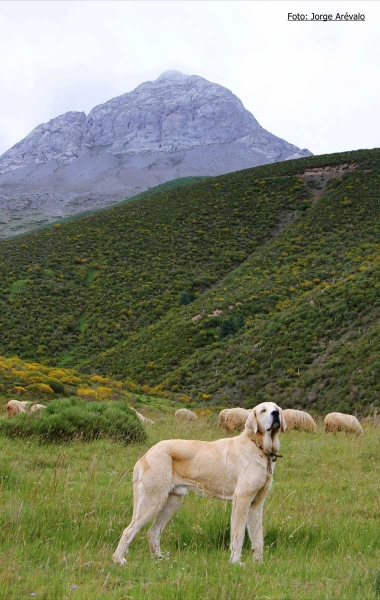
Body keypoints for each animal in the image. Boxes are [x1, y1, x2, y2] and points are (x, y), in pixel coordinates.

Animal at [113, 400, 284, 564]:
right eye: (263, 410)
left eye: (276, 408)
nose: (275, 414)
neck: (259, 448)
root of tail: (147, 454)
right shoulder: (241, 500)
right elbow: (239, 536)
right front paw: (235, 563)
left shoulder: (256, 504)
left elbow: (258, 538)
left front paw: (258, 564)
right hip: (153, 501)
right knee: (128, 531)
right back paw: (119, 560)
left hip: (172, 503)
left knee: (152, 532)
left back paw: (159, 559)